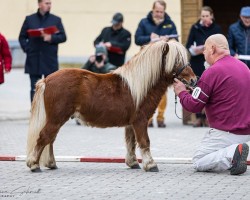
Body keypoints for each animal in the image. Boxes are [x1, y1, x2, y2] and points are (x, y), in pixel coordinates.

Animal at [26, 40, 196, 172]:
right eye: (177, 60)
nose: (194, 80)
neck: (140, 85)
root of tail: (46, 80)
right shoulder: (140, 121)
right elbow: (144, 142)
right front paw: (150, 165)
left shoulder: (131, 124)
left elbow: (131, 143)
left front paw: (133, 163)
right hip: (56, 119)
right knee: (44, 137)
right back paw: (34, 164)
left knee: (50, 139)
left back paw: (51, 164)